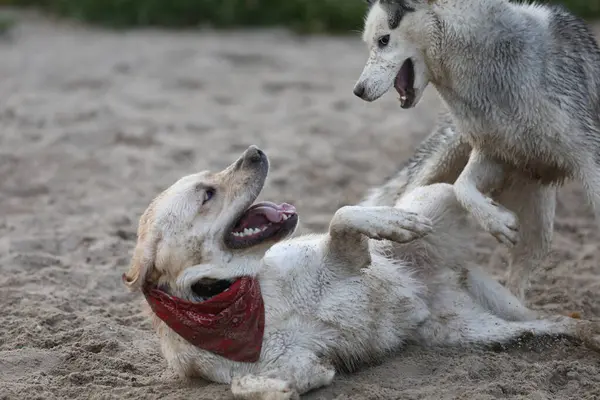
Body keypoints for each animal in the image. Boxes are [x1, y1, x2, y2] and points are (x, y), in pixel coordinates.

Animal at [122, 147, 600, 400]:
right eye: (207, 193)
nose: (255, 152)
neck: (236, 294)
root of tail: (442, 280)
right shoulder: (278, 360)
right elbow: (248, 385)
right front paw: (292, 385)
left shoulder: (344, 257)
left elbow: (342, 215)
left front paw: (388, 223)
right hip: (473, 331)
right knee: (544, 325)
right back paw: (580, 332)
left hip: (435, 199)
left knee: (465, 183)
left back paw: (489, 213)